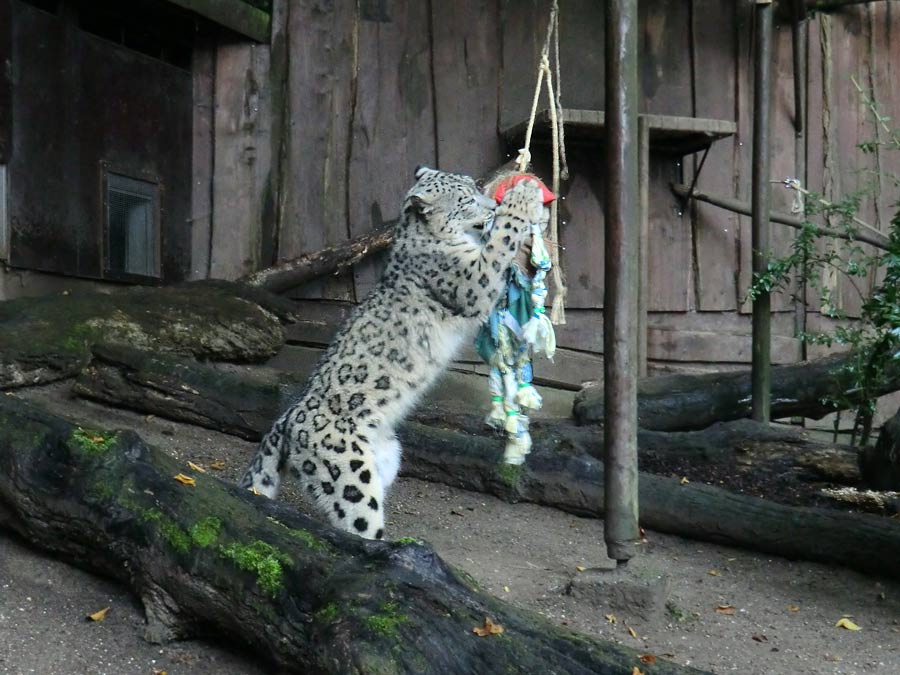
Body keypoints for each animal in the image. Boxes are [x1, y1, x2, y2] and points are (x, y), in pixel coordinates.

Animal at [239, 168, 544, 540]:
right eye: (465, 200)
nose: (490, 207)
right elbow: (499, 242)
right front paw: (522, 199)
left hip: (386, 458)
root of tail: (286, 420)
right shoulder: (472, 280)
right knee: (358, 521)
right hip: (348, 475)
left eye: (475, 186)